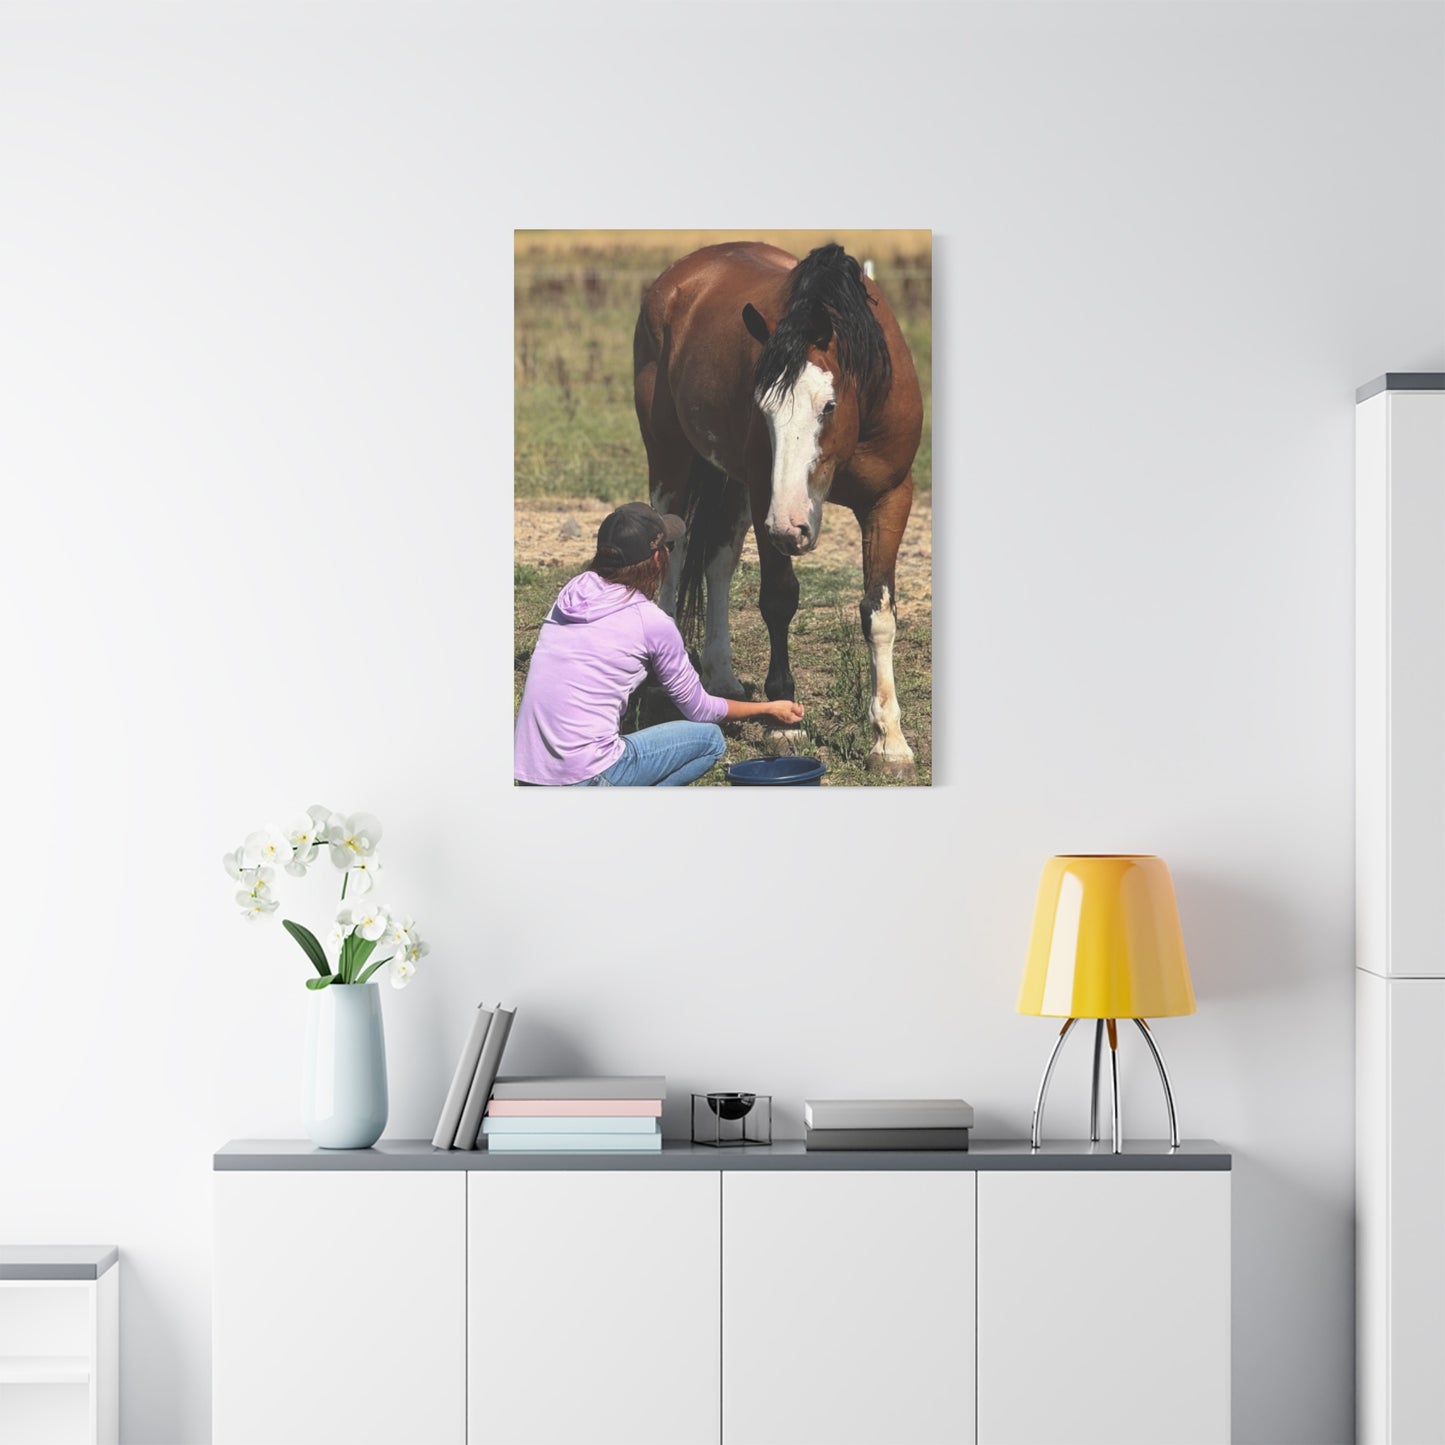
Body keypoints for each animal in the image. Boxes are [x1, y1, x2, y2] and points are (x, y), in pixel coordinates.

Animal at [632, 241, 924, 779]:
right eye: (763, 407)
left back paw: (721, 677)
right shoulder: (766, 500)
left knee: (719, 562)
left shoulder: (890, 499)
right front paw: (783, 722)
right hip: (671, 457)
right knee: (674, 552)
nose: (792, 528)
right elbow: (778, 599)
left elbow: (878, 613)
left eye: (828, 406)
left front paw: (890, 742)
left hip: (732, 482)